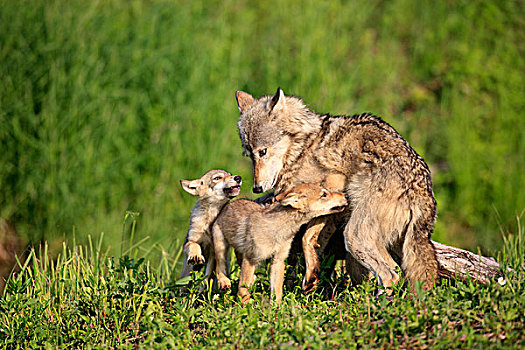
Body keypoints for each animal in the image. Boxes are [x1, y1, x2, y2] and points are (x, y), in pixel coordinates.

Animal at [211, 183, 346, 304]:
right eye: (324, 194)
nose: (345, 194)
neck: (277, 230)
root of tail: (228, 205)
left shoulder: (278, 260)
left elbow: (277, 290)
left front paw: (276, 310)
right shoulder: (251, 259)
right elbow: (243, 291)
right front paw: (243, 309)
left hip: (240, 252)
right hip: (221, 245)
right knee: (220, 266)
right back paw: (224, 282)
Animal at [234, 87, 438, 292]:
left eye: (262, 152)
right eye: (249, 155)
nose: (256, 188)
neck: (303, 147)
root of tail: (423, 192)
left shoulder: (334, 184)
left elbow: (306, 236)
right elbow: (314, 239)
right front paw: (312, 274)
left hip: (354, 237)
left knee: (390, 276)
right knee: (394, 269)